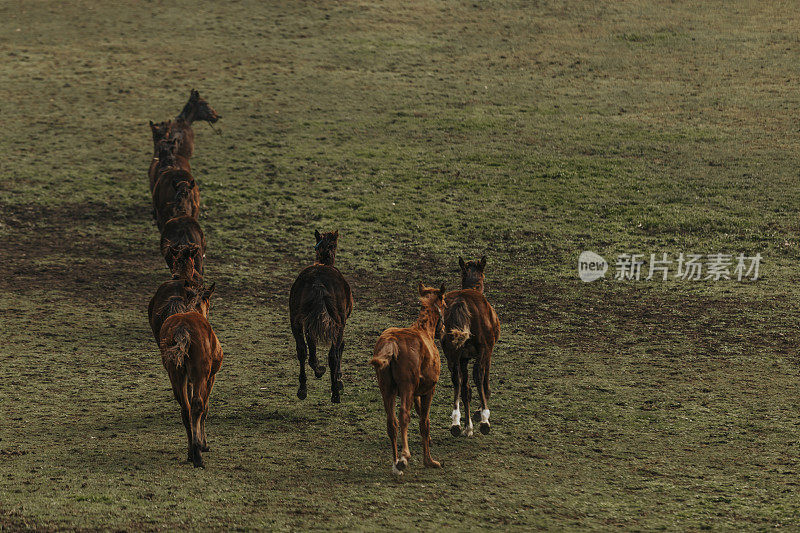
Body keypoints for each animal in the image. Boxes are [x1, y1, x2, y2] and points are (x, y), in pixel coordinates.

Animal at [159, 282, 219, 466]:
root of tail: (182, 327)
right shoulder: (210, 377)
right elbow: (204, 409)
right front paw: (204, 444)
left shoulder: (188, 380)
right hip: (201, 375)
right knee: (197, 405)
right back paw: (198, 455)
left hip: (176, 376)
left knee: (185, 410)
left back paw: (191, 452)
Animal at [286, 231, 352, 402]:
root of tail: (318, 281)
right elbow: (340, 347)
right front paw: (338, 379)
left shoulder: (309, 321)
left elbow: (311, 346)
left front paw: (317, 368)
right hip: (338, 323)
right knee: (333, 355)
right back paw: (335, 392)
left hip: (295, 320)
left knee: (301, 350)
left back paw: (303, 388)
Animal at [370, 280, 446, 476]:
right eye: (445, 304)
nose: (442, 331)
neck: (424, 330)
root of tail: (391, 343)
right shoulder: (428, 391)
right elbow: (424, 422)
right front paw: (429, 461)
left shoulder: (416, 393)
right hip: (406, 388)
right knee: (403, 416)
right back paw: (404, 456)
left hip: (386, 389)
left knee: (392, 423)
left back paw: (396, 464)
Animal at [438, 256, 500, 436]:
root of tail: (461, 300)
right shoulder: (487, 351)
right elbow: (484, 382)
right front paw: (479, 413)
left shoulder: (462, 357)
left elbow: (466, 389)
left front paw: (467, 426)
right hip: (482, 349)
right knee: (478, 376)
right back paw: (484, 420)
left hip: (451, 353)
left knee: (457, 380)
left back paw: (456, 424)